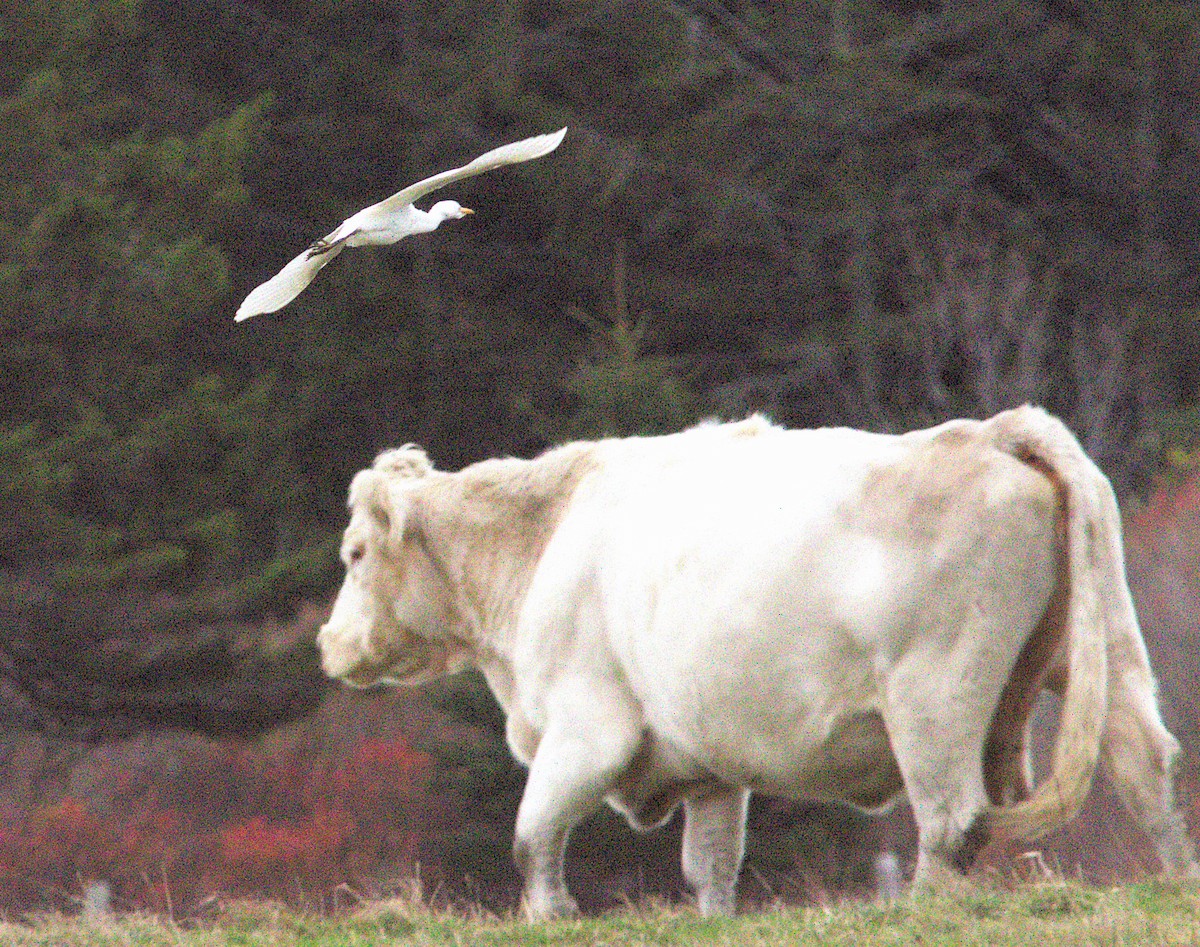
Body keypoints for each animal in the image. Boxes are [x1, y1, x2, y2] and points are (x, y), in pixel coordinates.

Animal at [317, 407, 1198, 918]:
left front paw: (550, 917)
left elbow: (532, 836)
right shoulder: (709, 764)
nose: (329, 643)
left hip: (935, 694)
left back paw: (919, 912)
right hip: (1102, 647)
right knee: (1145, 762)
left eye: (355, 552)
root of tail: (992, 428)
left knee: (953, 819)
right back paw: (1178, 880)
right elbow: (710, 866)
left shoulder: (587, 729)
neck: (545, 539)